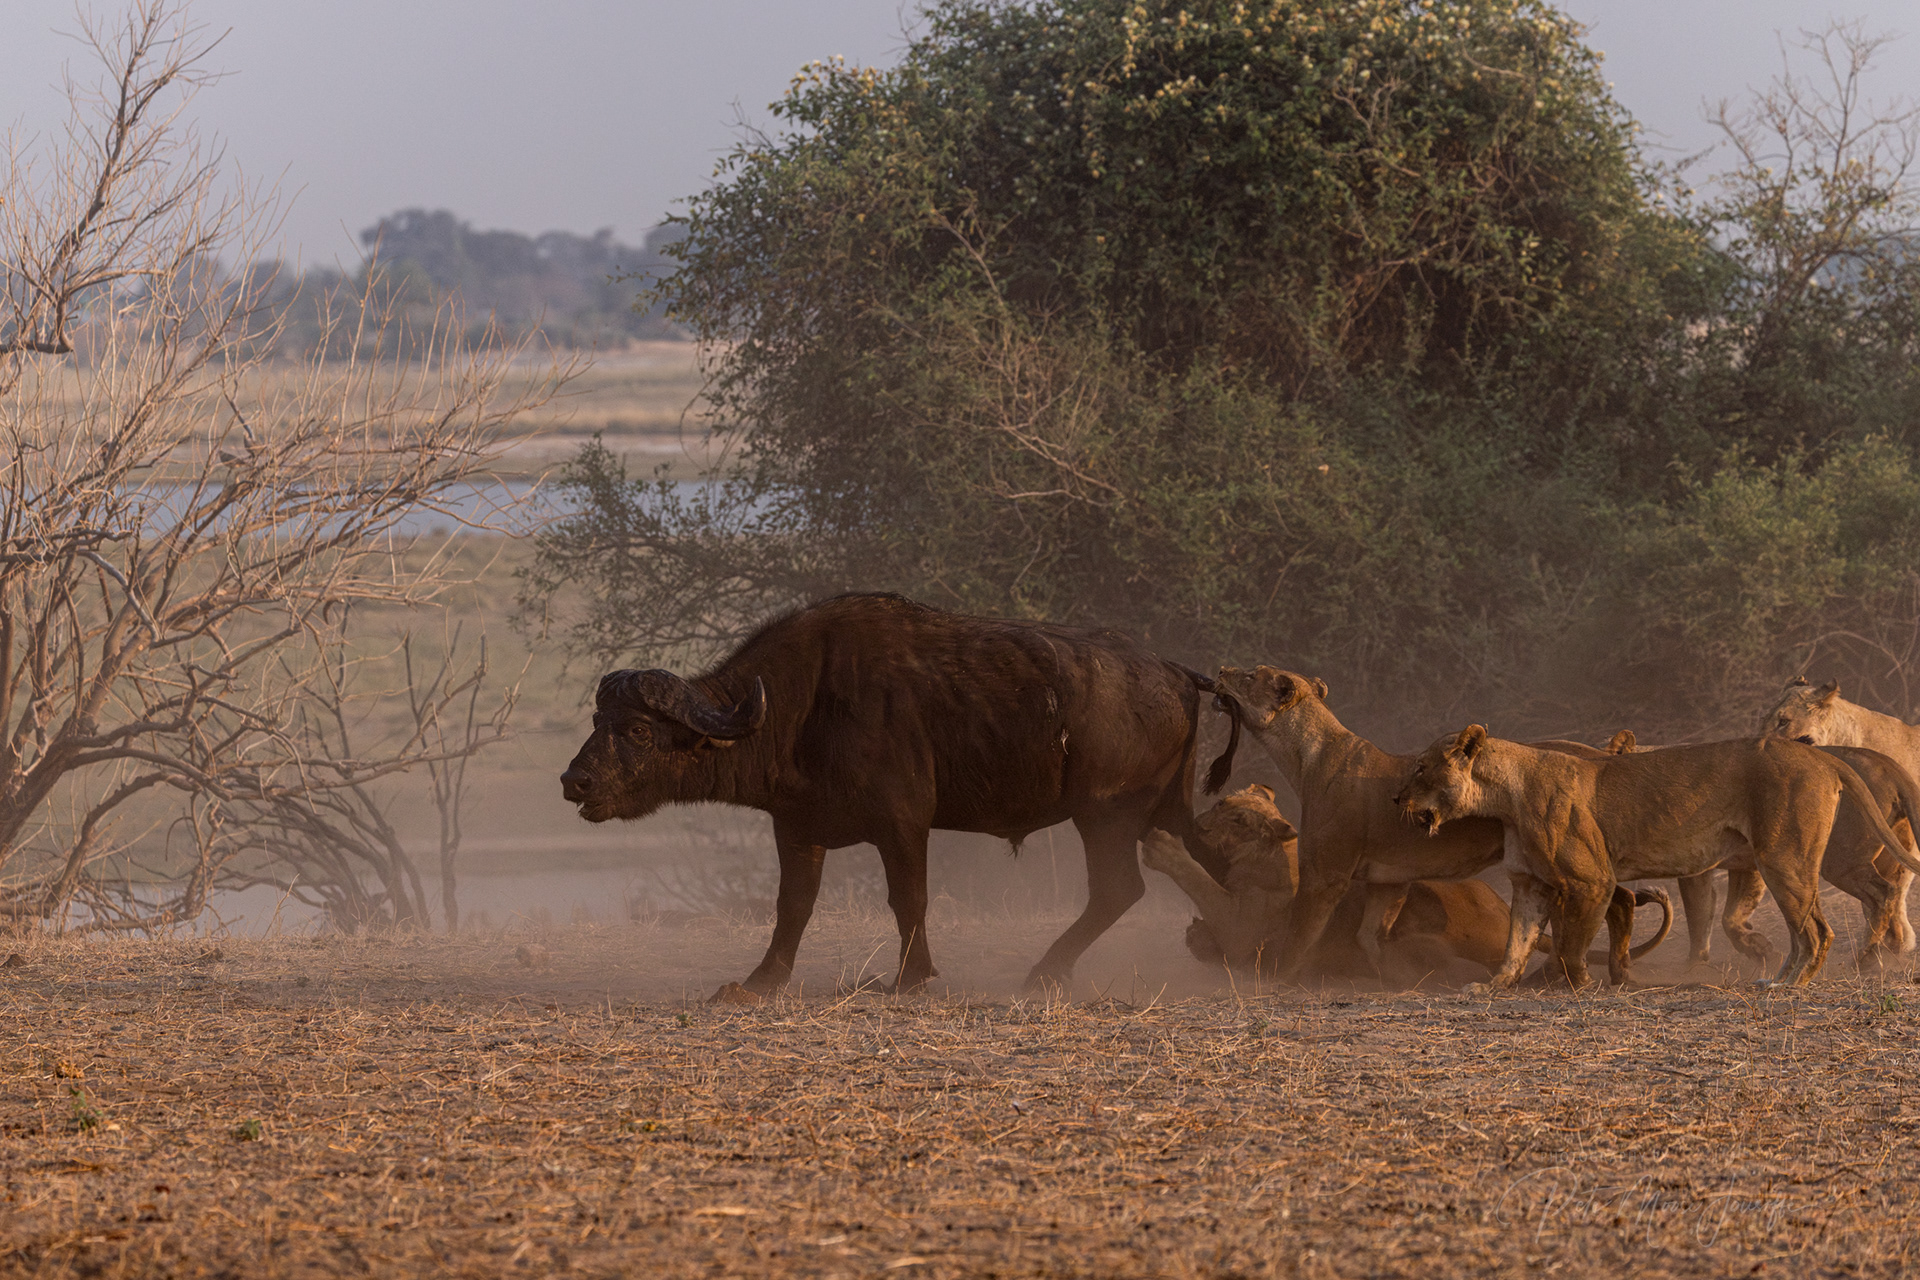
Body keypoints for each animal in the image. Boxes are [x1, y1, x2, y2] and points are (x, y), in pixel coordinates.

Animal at [560, 593, 1238, 994]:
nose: (574, 782)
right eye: (597, 721)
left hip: (1104, 816)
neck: (803, 709)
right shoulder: (797, 829)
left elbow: (908, 900)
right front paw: (759, 982)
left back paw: (1044, 971)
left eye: (638, 729)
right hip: (1167, 811)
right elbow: (793, 906)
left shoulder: (904, 825)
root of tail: (1175, 672)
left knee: (1118, 889)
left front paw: (911, 978)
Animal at [1393, 727, 1920, 988]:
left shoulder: (1591, 881)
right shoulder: (1530, 884)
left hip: (1785, 859)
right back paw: (1781, 977)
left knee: (1819, 929)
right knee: (1811, 928)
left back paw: (1795, 983)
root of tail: (1824, 756)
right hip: (1789, 864)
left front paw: (1579, 983)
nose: (1396, 799)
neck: (1506, 796)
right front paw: (1495, 986)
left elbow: (1571, 942)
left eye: (1420, 768)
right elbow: (1516, 941)